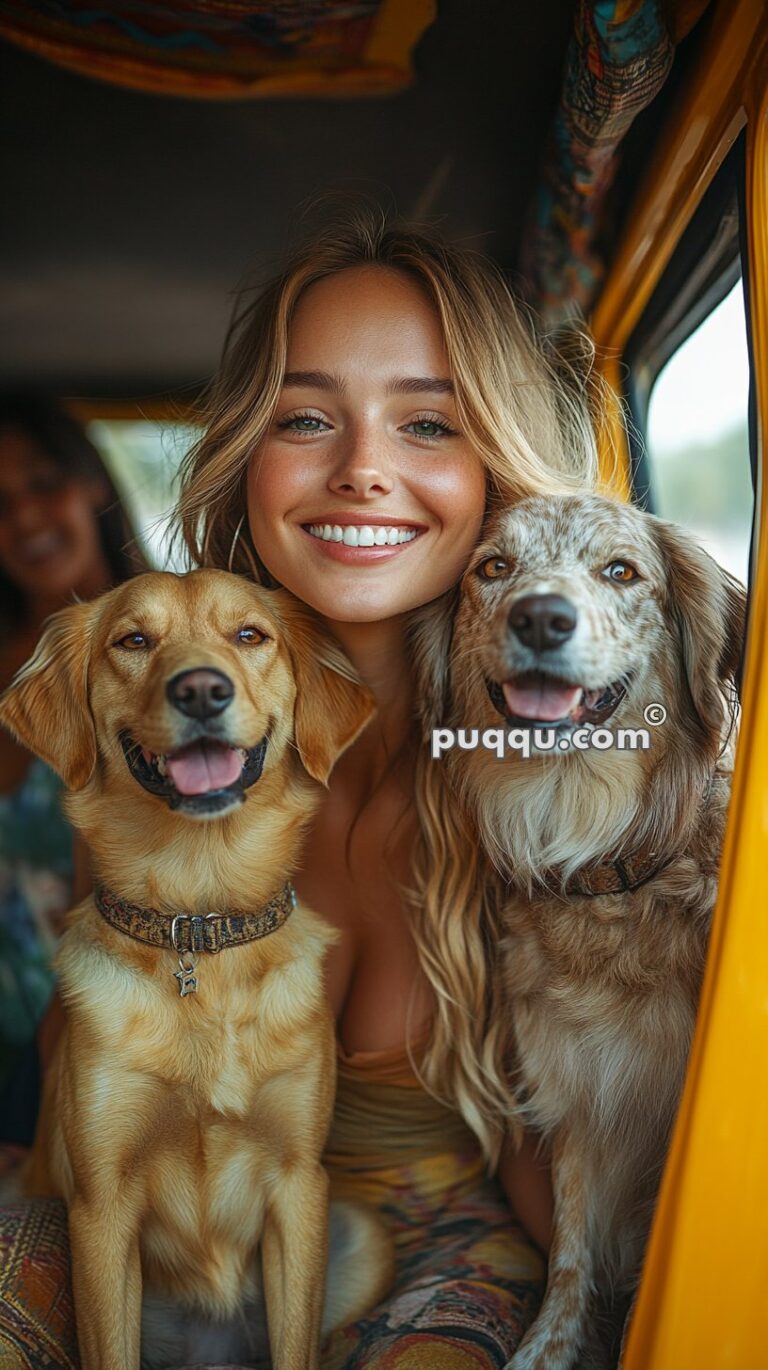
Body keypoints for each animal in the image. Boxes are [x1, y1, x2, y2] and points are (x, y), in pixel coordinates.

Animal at [0, 567, 391, 1370]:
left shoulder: (300, 1187)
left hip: (362, 1235)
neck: (200, 920)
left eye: (249, 634)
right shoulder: (99, 1209)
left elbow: (297, 1346)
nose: (203, 690)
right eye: (132, 640)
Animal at [410, 498, 744, 1370]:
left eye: (620, 571)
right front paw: (546, 1349)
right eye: (493, 568)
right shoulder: (582, 1093)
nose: (540, 617)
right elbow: (569, 1249)